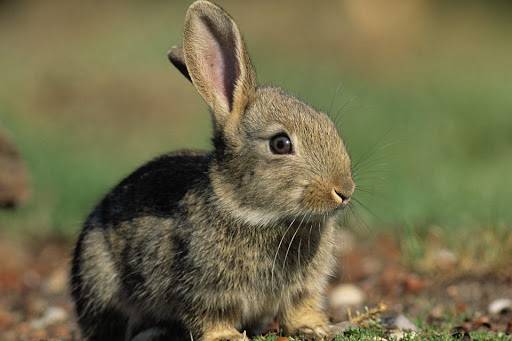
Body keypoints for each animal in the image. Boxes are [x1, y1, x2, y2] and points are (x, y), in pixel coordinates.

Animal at [70, 1, 354, 338]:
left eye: (328, 124)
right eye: (280, 144)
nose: (344, 190)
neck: (257, 215)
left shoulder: (302, 289)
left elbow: (299, 308)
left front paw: (317, 327)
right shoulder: (201, 289)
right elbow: (209, 317)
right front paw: (226, 336)